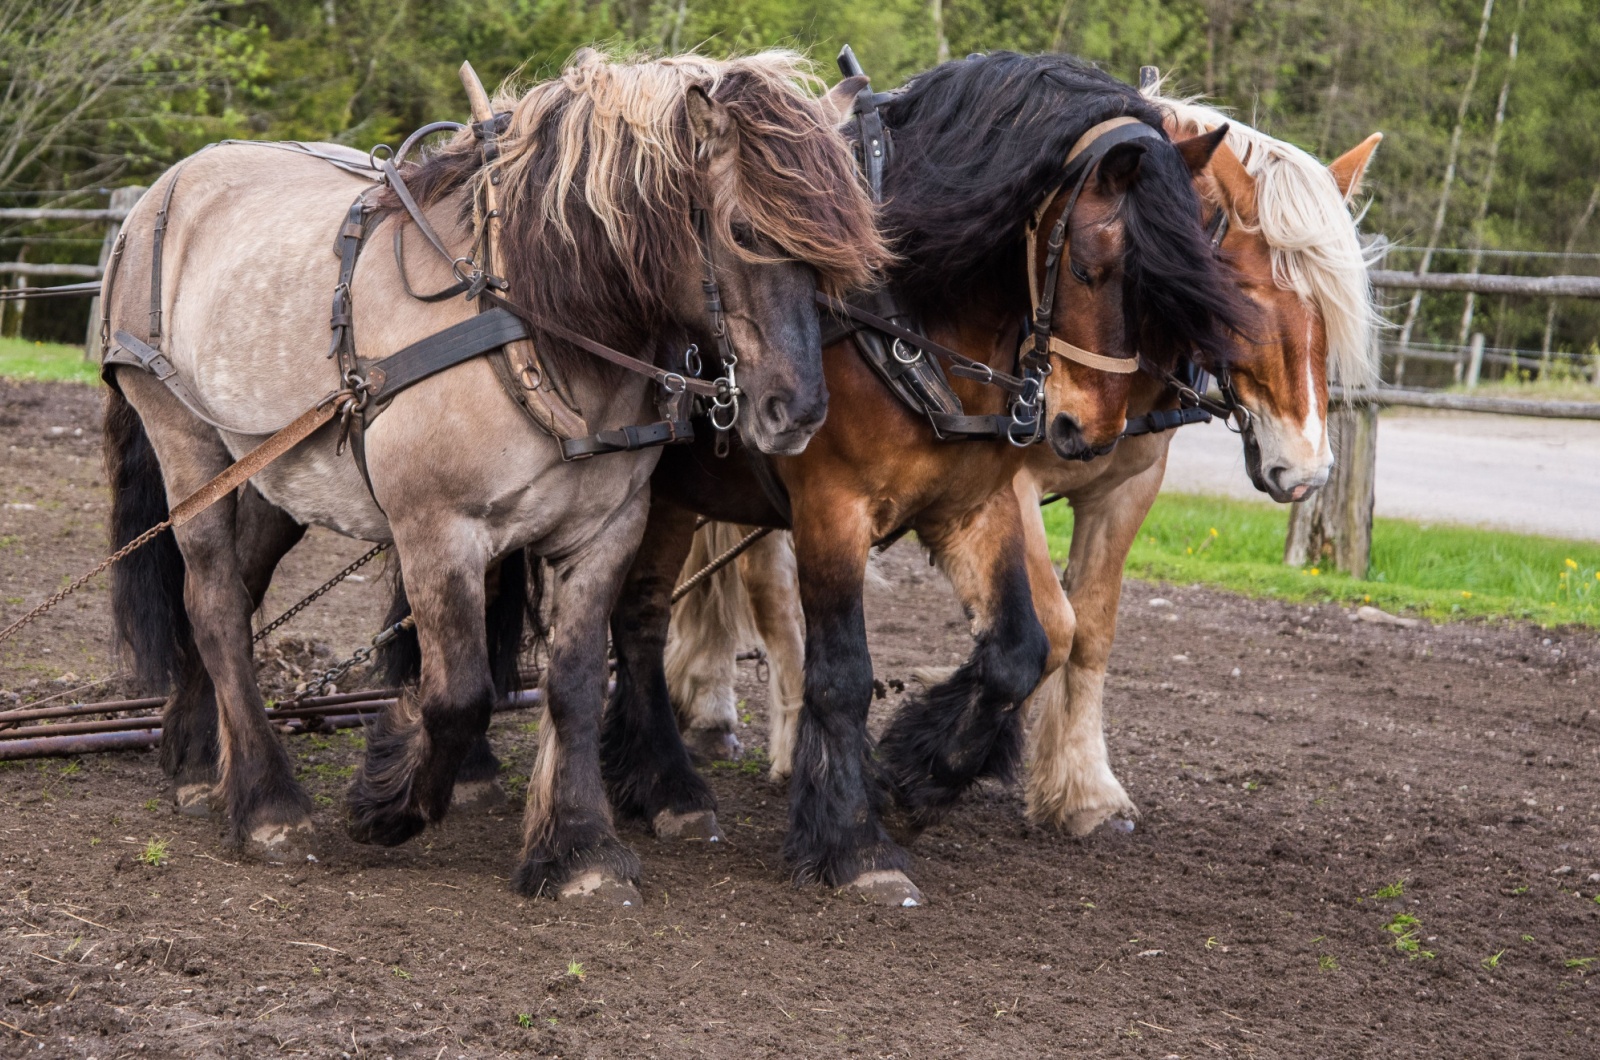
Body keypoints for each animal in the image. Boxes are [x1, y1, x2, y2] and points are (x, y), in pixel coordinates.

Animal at [98, 45, 883, 903]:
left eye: (845, 251)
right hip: (186, 441)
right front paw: (386, 801)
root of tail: (163, 192)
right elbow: (459, 694)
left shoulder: (607, 532)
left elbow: (574, 682)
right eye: (744, 230)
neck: (535, 321)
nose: (798, 410)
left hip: (277, 475)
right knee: (210, 600)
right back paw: (268, 805)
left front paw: (578, 848)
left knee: (236, 595)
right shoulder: (437, 532)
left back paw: (199, 760)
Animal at [592, 54, 1248, 909]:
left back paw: (657, 782)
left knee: (640, 619)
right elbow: (843, 675)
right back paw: (666, 784)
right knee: (637, 619)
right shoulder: (830, 510)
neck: (904, 313)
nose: (1091, 433)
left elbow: (1020, 649)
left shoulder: (973, 504)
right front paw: (854, 842)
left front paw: (915, 779)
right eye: (1089, 268)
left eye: (1175, 287)